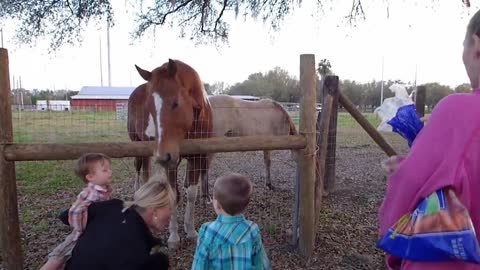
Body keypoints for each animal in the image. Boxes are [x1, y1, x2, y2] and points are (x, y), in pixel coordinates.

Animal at [127, 59, 212, 249]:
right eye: (149, 107)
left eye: (175, 103)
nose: (162, 156)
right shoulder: (172, 161)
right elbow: (173, 195)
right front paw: (174, 237)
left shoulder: (197, 157)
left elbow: (191, 194)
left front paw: (190, 231)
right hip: (137, 144)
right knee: (139, 169)